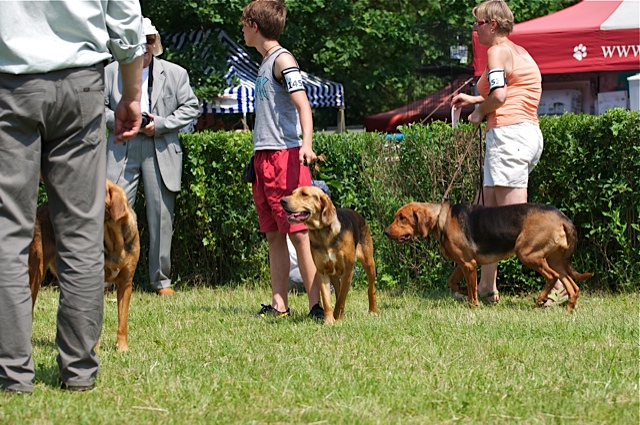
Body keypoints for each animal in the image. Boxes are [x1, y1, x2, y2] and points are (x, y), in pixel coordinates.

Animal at [29, 179, 140, 352]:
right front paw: (94, 348)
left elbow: (122, 320)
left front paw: (122, 348)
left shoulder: (126, 283)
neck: (113, 240)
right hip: (36, 272)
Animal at [278, 185, 378, 322]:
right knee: (338, 290)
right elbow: (327, 300)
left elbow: (341, 298)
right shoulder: (322, 271)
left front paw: (337, 317)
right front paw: (329, 321)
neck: (322, 232)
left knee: (371, 288)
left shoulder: (348, 271)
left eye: (304, 194)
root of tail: (358, 215)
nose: (282, 201)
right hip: (334, 274)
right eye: (293, 193)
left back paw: (373, 311)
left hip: (369, 263)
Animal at [382, 200, 592, 310]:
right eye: (396, 217)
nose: (385, 232)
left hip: (527, 254)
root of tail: (562, 217)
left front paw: (473, 304)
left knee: (552, 277)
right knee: (572, 286)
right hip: (555, 260)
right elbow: (453, 282)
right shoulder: (463, 264)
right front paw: (464, 292)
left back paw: (541, 299)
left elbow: (472, 289)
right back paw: (569, 308)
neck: (441, 219)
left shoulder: (468, 264)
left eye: (402, 218)